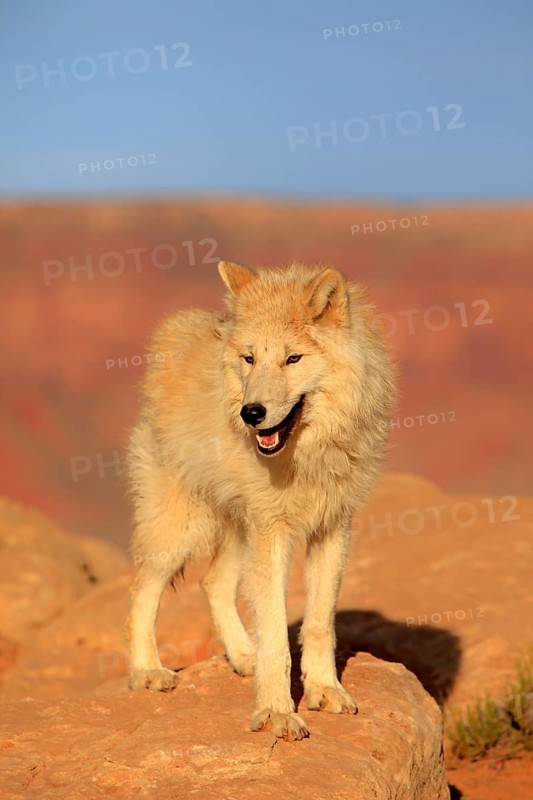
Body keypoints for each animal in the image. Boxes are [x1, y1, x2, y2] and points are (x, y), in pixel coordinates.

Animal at [126, 260, 396, 741]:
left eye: (293, 358)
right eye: (249, 358)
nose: (251, 413)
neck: (306, 456)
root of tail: (175, 332)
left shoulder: (332, 529)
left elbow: (319, 623)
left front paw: (324, 690)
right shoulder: (273, 534)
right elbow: (275, 636)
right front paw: (276, 713)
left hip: (239, 531)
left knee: (212, 583)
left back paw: (241, 657)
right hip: (180, 532)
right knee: (142, 591)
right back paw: (147, 672)